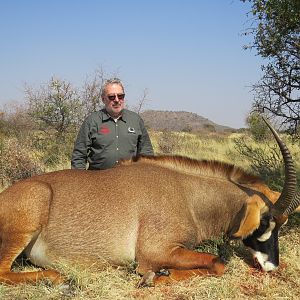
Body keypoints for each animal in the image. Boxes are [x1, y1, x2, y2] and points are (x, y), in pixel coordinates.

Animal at [0, 118, 298, 286]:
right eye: (264, 223)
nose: (272, 266)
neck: (188, 194)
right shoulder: (155, 252)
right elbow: (217, 263)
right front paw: (158, 276)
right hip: (31, 213)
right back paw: (58, 279)